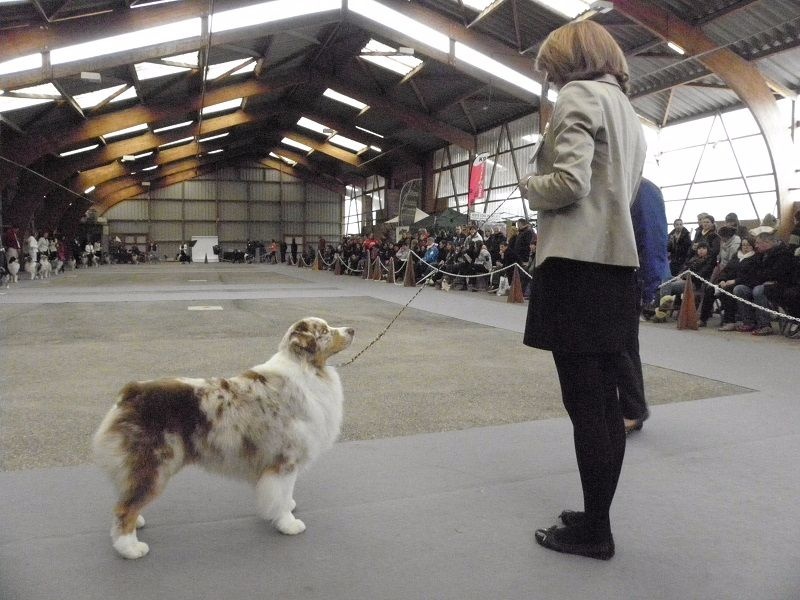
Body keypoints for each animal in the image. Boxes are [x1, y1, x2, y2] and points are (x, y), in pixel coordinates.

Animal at [93, 318, 354, 556]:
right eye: (324, 331)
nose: (351, 329)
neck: (308, 369)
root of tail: (132, 392)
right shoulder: (285, 459)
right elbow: (280, 493)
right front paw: (288, 523)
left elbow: (286, 492)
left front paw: (287, 507)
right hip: (154, 465)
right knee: (125, 508)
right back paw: (130, 547)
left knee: (126, 499)